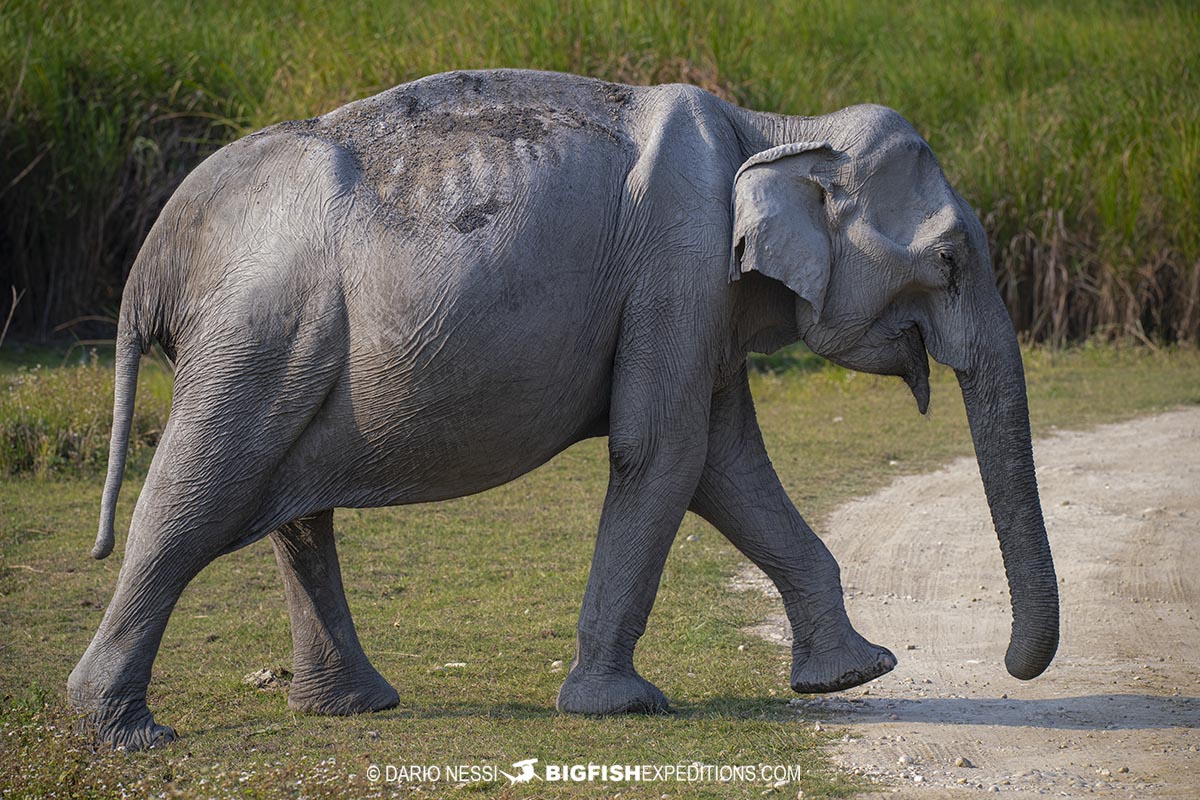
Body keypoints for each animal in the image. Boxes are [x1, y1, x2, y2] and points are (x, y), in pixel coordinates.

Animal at [68, 68, 1060, 753]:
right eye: (950, 263)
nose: (1014, 666)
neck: (779, 127)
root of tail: (156, 252)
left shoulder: (705, 295)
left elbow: (726, 461)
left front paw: (856, 674)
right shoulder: (679, 255)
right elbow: (666, 451)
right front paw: (621, 707)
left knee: (292, 516)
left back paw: (353, 706)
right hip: (259, 332)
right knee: (194, 496)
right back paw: (121, 732)